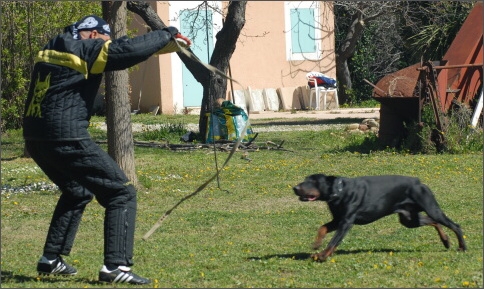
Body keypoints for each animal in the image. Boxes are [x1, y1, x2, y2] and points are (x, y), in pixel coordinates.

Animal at [294, 173, 466, 260]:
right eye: (305, 179)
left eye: (313, 181)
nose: (295, 188)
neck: (339, 192)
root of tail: (419, 182)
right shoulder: (337, 220)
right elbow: (322, 228)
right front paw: (317, 245)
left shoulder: (346, 222)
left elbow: (334, 241)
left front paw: (322, 255)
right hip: (409, 218)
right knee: (434, 222)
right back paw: (446, 241)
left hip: (430, 207)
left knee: (454, 225)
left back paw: (462, 246)